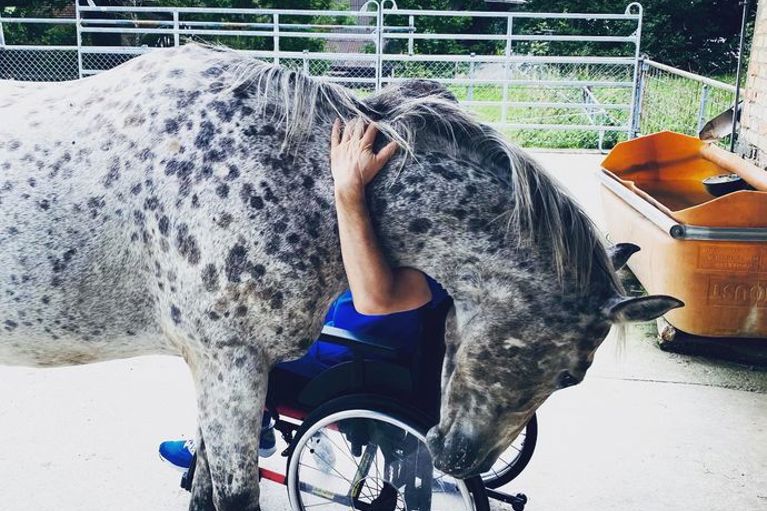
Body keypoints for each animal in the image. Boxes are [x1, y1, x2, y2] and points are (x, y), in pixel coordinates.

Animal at [0, 45, 684, 511]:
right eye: (572, 375)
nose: (458, 457)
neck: (293, 176)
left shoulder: (218, 370)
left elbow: (205, 486)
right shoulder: (229, 363)